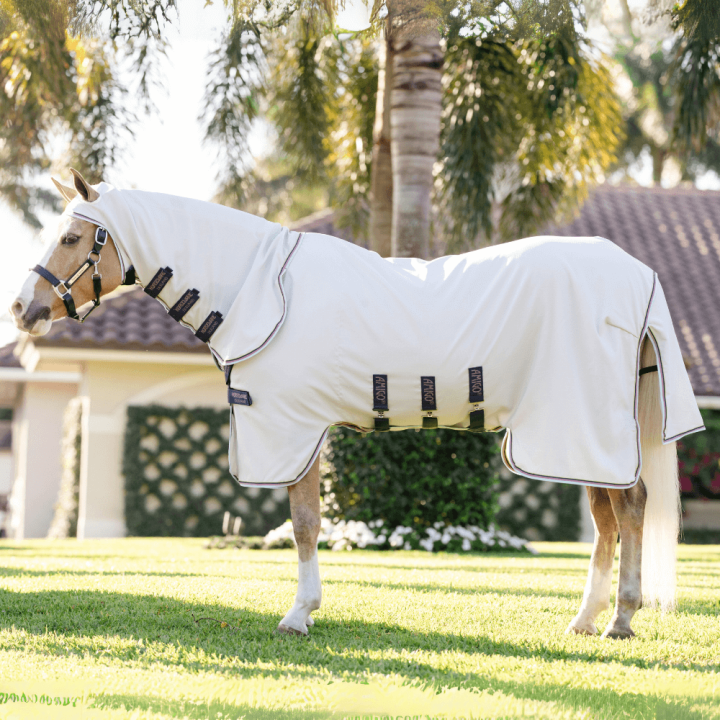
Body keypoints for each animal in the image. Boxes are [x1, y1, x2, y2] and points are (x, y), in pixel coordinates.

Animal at [11, 169, 700, 639]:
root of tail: (638, 274)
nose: (23, 309)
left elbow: (304, 523)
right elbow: (307, 522)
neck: (263, 289)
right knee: (608, 520)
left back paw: (620, 621)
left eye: (72, 236)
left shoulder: (293, 430)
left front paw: (298, 614)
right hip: (575, 435)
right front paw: (305, 609)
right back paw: (586, 619)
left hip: (581, 428)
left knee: (630, 509)